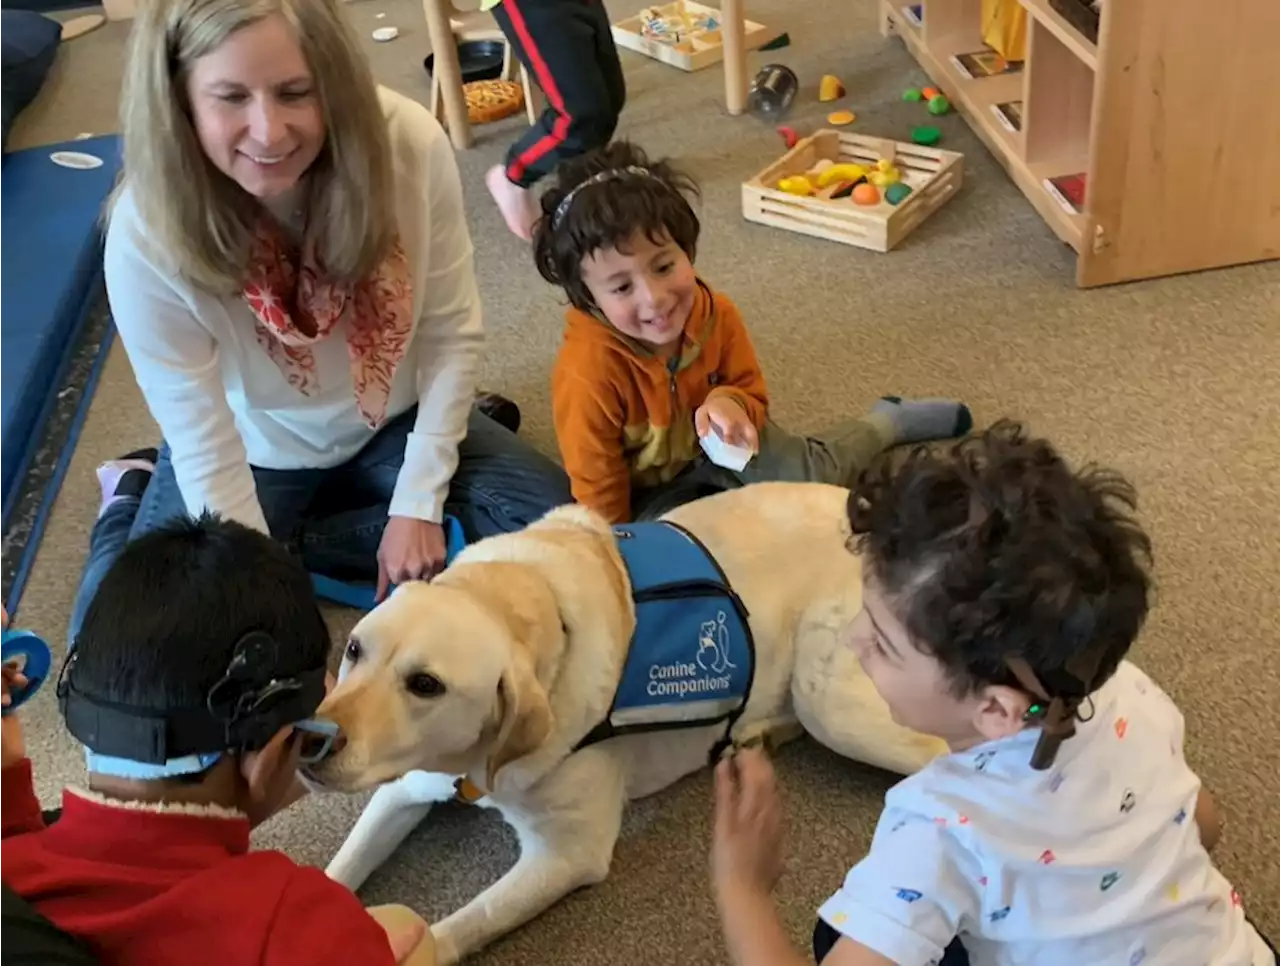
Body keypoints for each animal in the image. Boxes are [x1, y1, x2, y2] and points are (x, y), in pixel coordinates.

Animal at [308, 481, 942, 962]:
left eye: (425, 684)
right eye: (354, 650)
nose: (311, 741)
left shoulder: (566, 854)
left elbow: (463, 922)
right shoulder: (405, 786)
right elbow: (339, 868)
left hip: (832, 700)